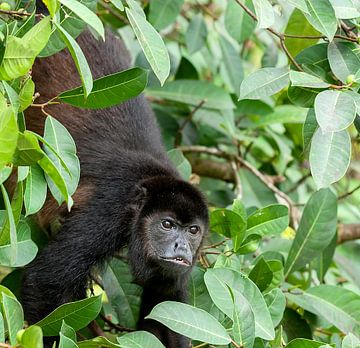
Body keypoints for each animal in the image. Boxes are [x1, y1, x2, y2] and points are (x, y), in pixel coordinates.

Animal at [21, 6, 208, 348]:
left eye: (192, 231)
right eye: (166, 225)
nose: (181, 248)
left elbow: (164, 310)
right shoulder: (111, 209)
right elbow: (46, 281)